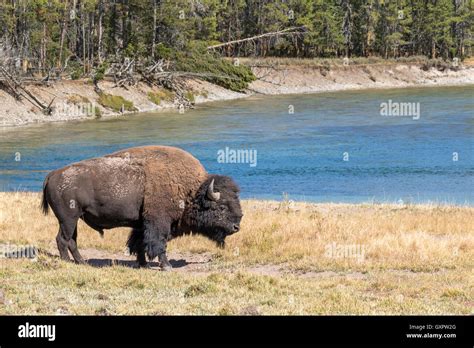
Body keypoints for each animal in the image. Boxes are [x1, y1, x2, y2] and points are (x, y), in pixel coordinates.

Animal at [41, 145, 243, 270]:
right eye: (221, 207)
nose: (236, 227)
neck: (191, 191)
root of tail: (53, 174)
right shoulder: (159, 222)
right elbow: (158, 243)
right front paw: (166, 266)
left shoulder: (141, 224)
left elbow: (139, 243)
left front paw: (143, 264)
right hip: (68, 219)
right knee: (63, 239)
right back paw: (68, 262)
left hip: (72, 220)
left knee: (71, 241)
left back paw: (82, 262)